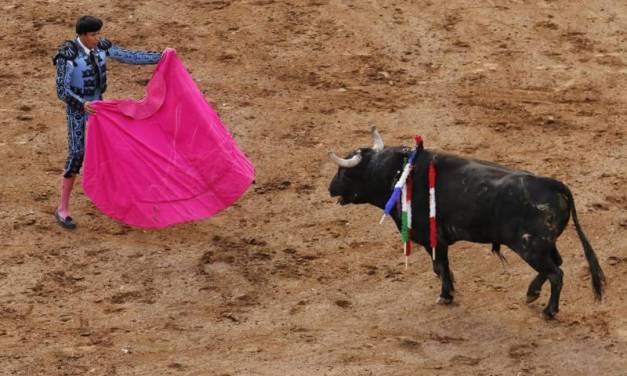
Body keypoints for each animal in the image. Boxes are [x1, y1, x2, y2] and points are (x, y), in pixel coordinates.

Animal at [332, 128, 604, 318]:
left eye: (344, 172)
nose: (330, 187)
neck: (399, 173)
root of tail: (553, 184)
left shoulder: (434, 239)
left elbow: (439, 267)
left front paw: (446, 295)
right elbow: (442, 268)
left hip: (531, 246)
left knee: (555, 273)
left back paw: (549, 310)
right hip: (543, 245)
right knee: (554, 266)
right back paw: (531, 293)